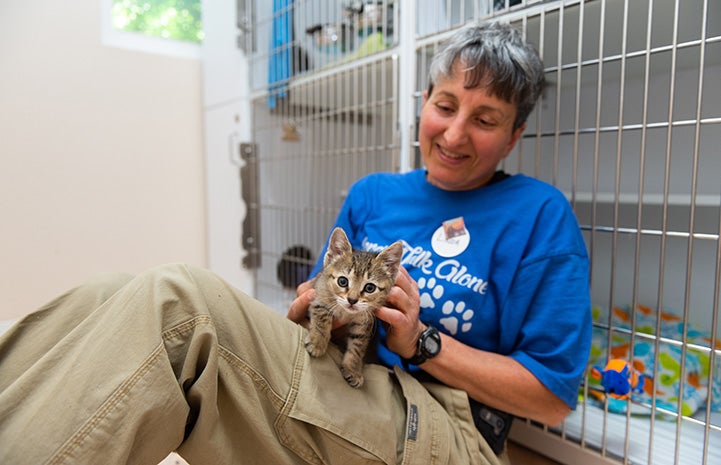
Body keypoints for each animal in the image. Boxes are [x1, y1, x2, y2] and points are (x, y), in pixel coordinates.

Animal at [306, 227, 404, 386]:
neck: (346, 312)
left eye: (370, 288)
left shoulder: (364, 321)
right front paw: (318, 343)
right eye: (342, 281)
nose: (352, 300)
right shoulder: (319, 298)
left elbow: (358, 346)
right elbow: (322, 317)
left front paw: (352, 369)